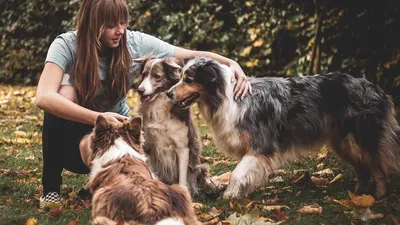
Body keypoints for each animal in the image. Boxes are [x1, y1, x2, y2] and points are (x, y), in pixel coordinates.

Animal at [135, 55, 208, 195]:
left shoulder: (183, 147)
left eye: (157, 76)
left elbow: (182, 178)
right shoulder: (147, 146)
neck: (158, 106)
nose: (140, 90)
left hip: (200, 167)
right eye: (143, 75)